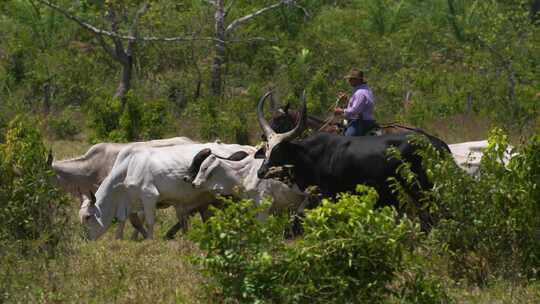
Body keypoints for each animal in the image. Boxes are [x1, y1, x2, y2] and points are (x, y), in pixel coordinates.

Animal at [80, 142, 258, 240]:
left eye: (88, 217)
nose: (87, 239)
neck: (129, 166)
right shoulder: (131, 202)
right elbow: (129, 221)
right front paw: (121, 238)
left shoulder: (149, 196)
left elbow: (149, 221)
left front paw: (149, 239)